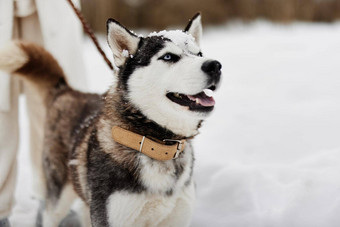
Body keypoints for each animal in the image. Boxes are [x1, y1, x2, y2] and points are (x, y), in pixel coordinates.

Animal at [0, 13, 220, 226]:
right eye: (168, 56)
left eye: (199, 54)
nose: (215, 65)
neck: (154, 144)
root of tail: (67, 91)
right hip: (58, 198)